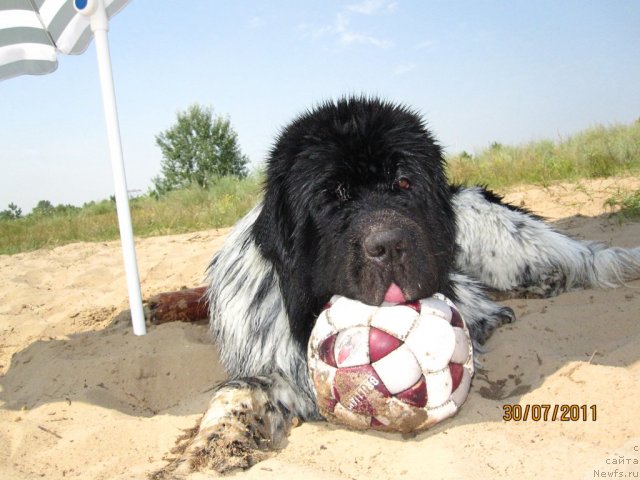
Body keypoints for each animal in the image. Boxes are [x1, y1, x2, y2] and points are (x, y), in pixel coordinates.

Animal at [156, 95, 640, 474]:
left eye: (405, 183)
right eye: (333, 195)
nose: (389, 244)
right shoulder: (277, 362)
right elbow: (236, 392)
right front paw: (208, 448)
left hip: (491, 233)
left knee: (560, 258)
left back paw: (543, 283)